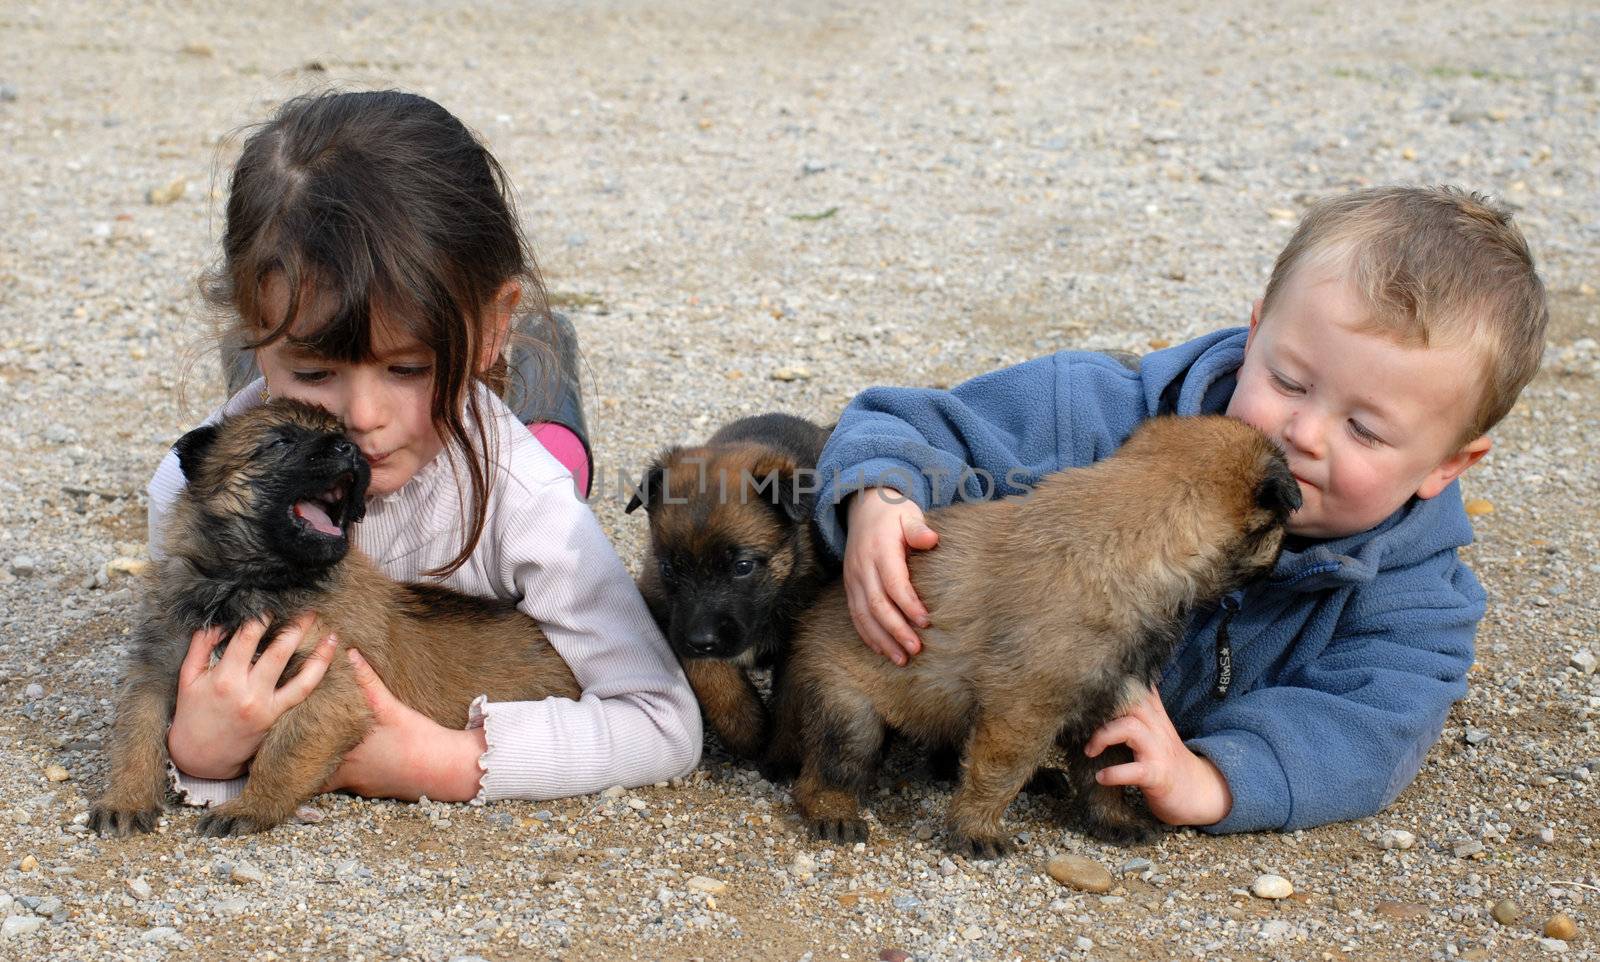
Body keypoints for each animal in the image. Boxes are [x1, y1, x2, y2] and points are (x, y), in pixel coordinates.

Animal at [90, 396, 579, 832]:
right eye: (280, 442)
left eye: (340, 436)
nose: (350, 449)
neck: (249, 584)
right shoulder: (155, 669)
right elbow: (136, 734)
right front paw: (126, 800)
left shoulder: (332, 684)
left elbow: (282, 749)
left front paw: (251, 807)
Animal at [627, 412, 838, 758]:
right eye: (668, 568)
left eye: (742, 567)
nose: (701, 640)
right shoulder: (675, 621)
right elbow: (712, 678)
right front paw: (747, 731)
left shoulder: (800, 638)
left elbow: (792, 703)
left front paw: (781, 758)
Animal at [774, 412, 1299, 857]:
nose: (1286, 557)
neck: (1134, 539)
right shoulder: (1022, 712)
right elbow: (997, 774)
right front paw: (977, 829)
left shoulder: (1107, 702)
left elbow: (1105, 771)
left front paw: (1113, 820)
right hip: (850, 714)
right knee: (824, 774)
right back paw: (835, 811)